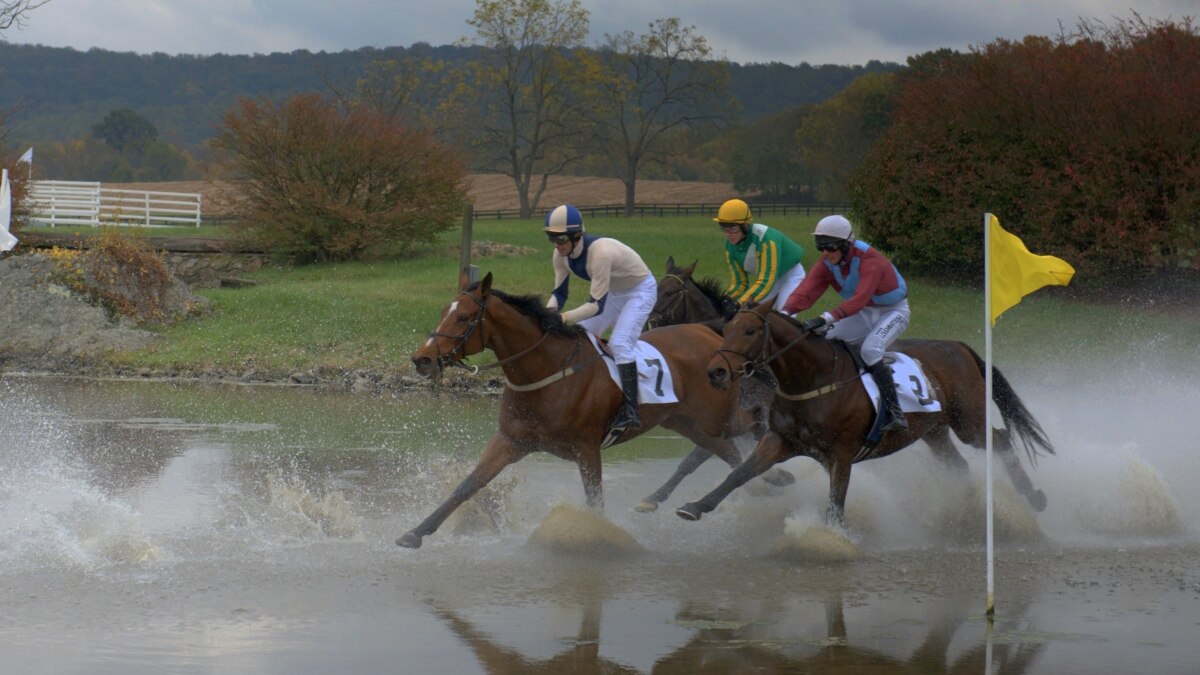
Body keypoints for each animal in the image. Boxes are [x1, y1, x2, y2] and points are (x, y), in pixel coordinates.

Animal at [403, 269, 758, 547]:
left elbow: (595, 501)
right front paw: (415, 533)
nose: (422, 358)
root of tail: (711, 333)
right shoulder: (511, 440)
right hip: (686, 422)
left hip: (719, 416)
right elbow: (468, 485)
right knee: (726, 453)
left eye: (463, 317)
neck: (546, 372)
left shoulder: (587, 449)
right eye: (442, 312)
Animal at [676, 300, 1051, 526]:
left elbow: (835, 501)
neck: (812, 378)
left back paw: (1033, 496)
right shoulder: (779, 440)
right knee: (957, 464)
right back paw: (967, 508)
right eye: (726, 330)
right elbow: (740, 474)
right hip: (933, 430)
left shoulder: (841, 453)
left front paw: (830, 540)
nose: (715, 372)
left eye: (750, 330)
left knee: (999, 440)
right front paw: (695, 506)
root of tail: (958, 346)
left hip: (968, 421)